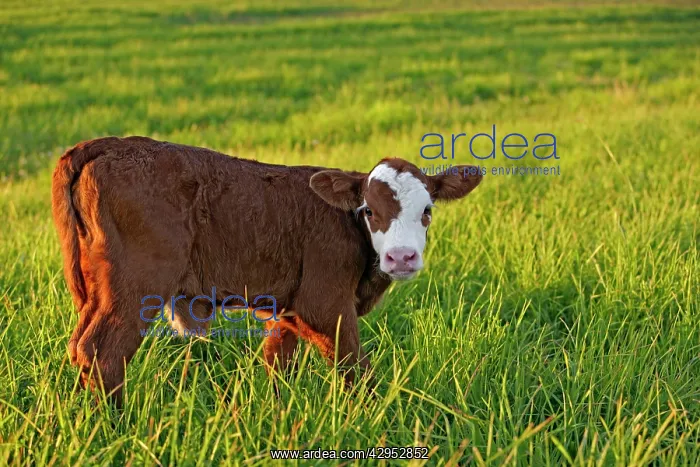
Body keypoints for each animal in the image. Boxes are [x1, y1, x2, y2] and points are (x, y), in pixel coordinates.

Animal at [51, 136, 482, 403]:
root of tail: (111, 144)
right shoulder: (324, 306)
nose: (402, 257)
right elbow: (356, 370)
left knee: (79, 348)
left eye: (427, 211)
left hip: (95, 292)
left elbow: (278, 363)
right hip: (136, 287)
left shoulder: (288, 310)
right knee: (104, 354)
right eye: (369, 211)